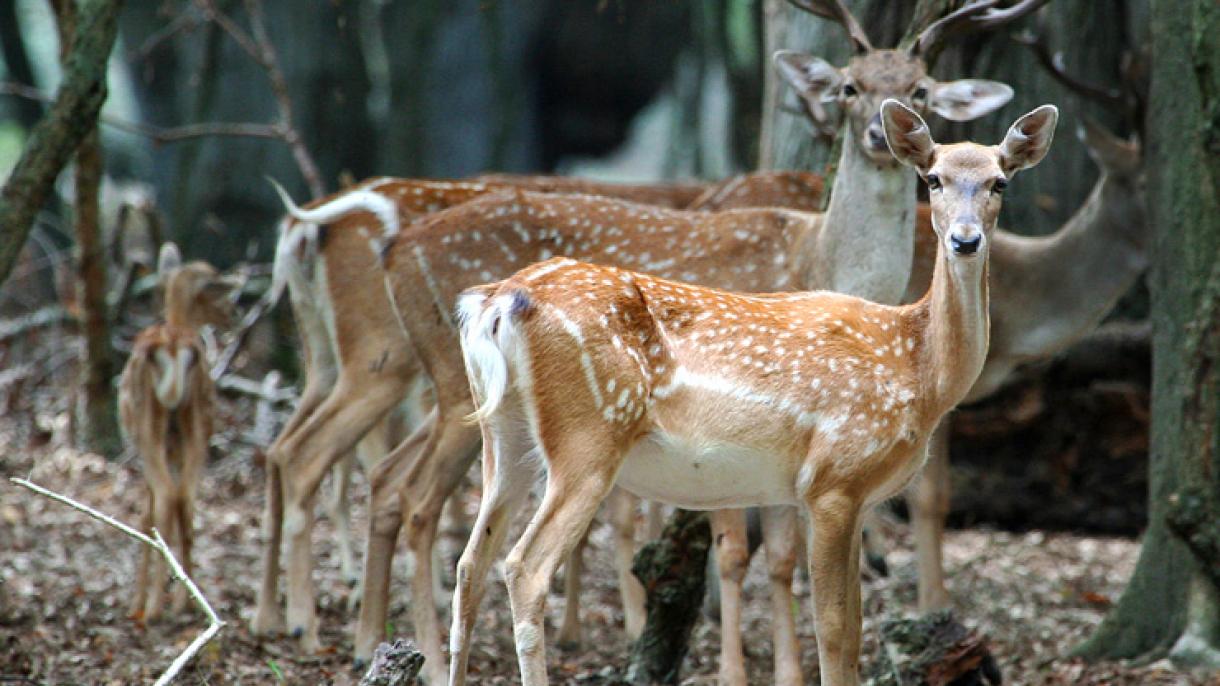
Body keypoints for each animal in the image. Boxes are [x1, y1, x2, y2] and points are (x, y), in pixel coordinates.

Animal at [120, 244, 239, 620]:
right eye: (217, 293)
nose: (233, 314)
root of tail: (173, 346)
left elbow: (145, 513)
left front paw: (136, 603)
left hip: (148, 428)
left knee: (166, 497)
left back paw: (153, 607)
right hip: (197, 422)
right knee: (185, 497)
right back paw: (185, 601)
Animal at [448, 100, 1058, 683]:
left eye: (999, 182)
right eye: (932, 178)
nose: (965, 240)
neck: (917, 367)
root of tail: (495, 301)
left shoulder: (856, 498)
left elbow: (854, 628)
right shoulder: (832, 480)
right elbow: (833, 630)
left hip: (506, 436)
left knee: (469, 564)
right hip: (588, 435)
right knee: (523, 568)